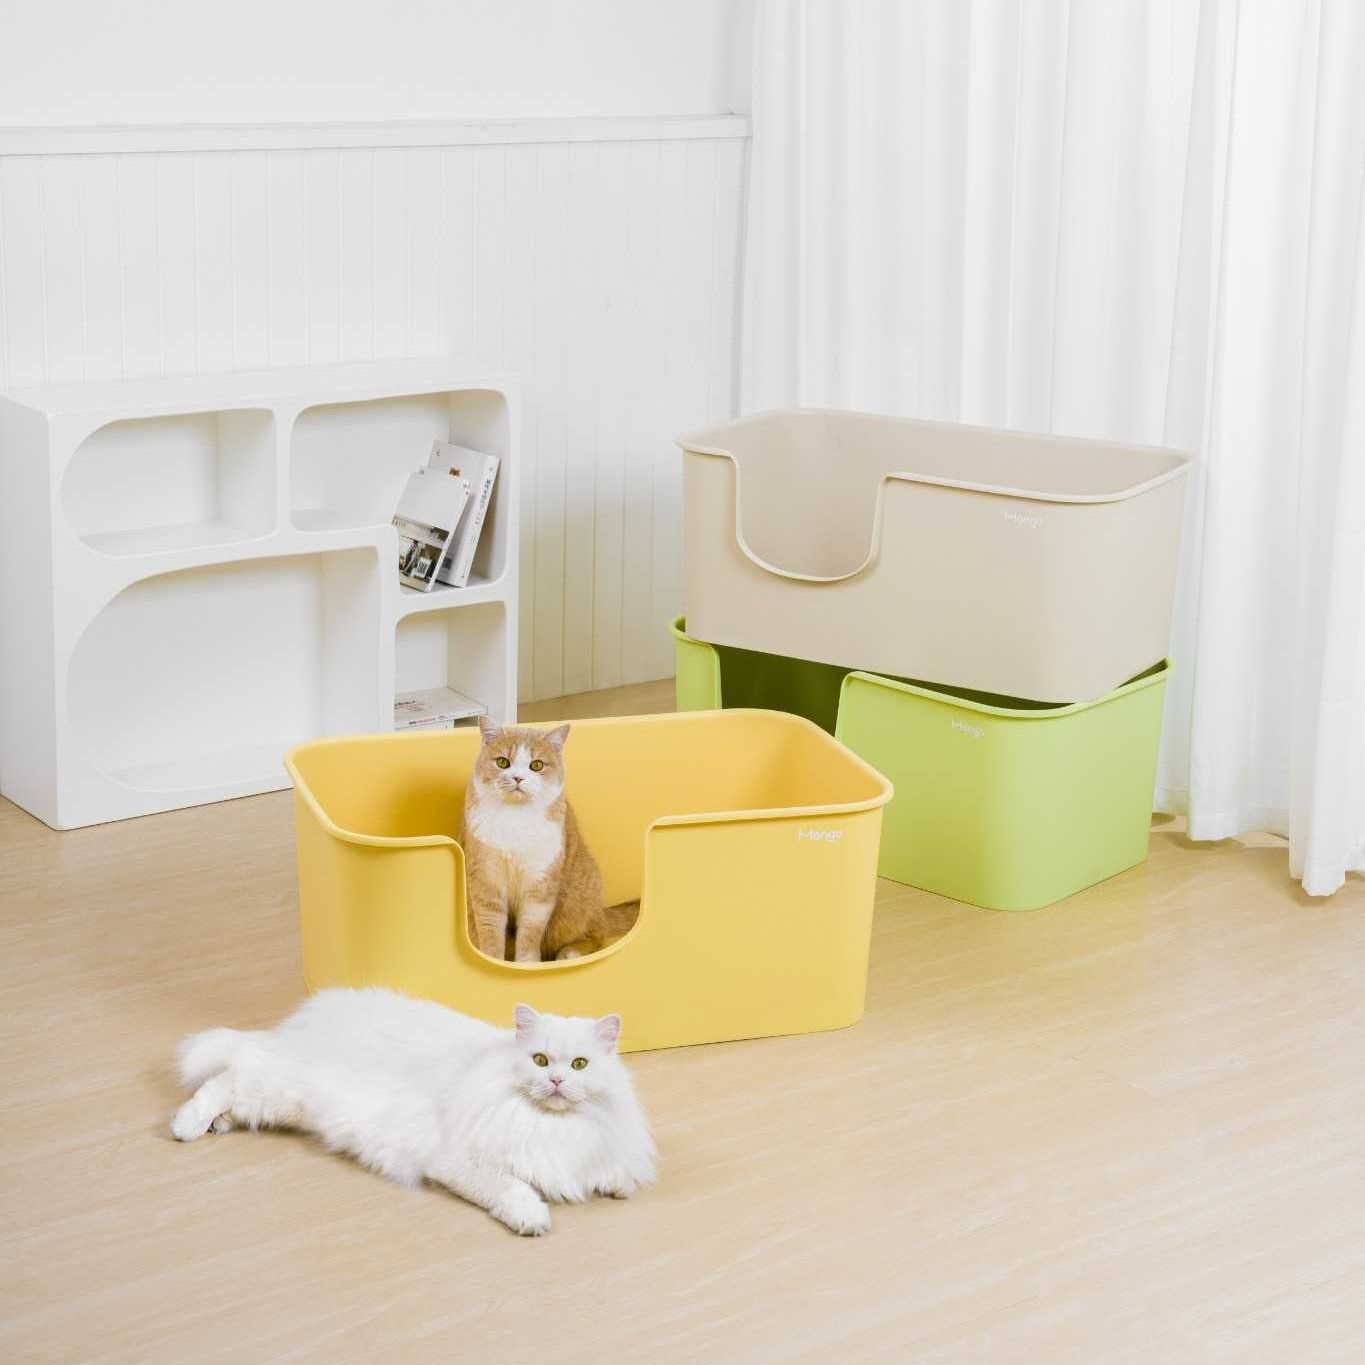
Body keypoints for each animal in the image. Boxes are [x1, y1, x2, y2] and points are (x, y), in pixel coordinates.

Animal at [169, 989, 656, 1236]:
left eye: (579, 1065)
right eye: (540, 1061)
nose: (555, 1081)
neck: (547, 1123)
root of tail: (299, 1022)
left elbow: (619, 1175)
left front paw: (614, 1184)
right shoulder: (459, 1160)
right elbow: (511, 1187)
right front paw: (532, 1219)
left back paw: (218, 1124)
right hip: (281, 1090)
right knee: (226, 1076)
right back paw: (186, 1126)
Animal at [462, 718, 638, 963]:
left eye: (536, 765)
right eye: (502, 762)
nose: (518, 778)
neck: (515, 819)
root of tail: (600, 910)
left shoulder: (541, 882)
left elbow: (530, 930)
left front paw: (526, 963)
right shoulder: (486, 877)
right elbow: (490, 926)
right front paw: (494, 960)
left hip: (575, 905)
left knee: (596, 934)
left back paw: (571, 951)